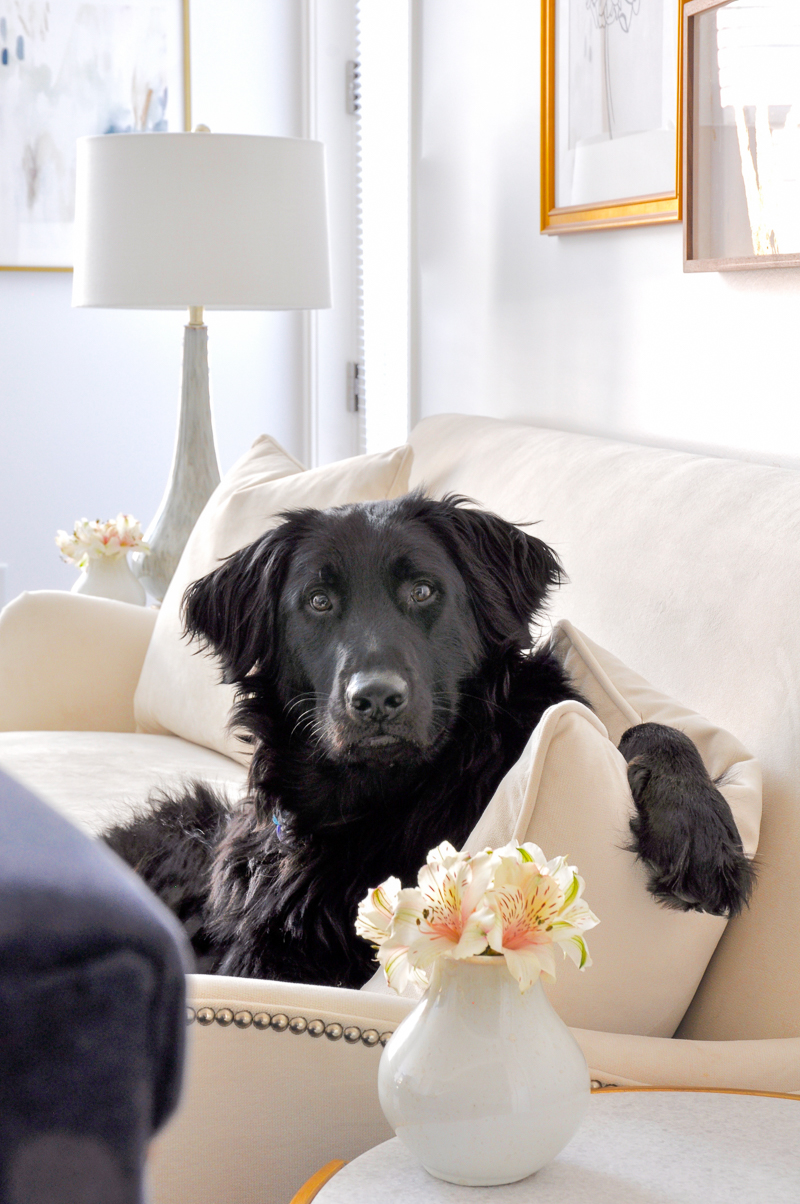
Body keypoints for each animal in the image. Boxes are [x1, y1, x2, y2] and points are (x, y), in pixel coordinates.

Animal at [104, 491, 751, 987]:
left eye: (422, 590)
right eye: (318, 601)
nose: (375, 699)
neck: (391, 796)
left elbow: (652, 730)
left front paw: (698, 830)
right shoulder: (265, 958)